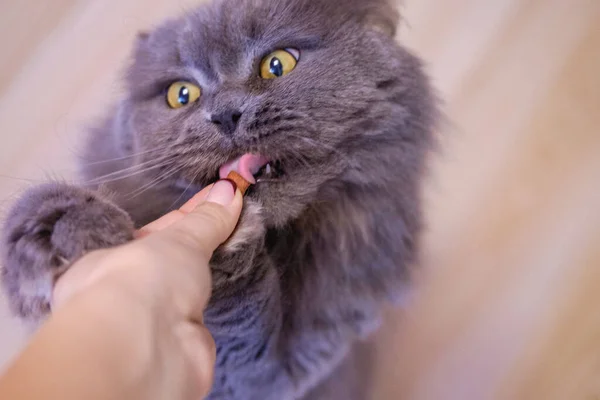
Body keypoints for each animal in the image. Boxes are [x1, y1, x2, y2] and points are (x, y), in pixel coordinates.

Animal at [2, 0, 438, 398]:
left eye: (278, 64)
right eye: (182, 95)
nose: (227, 114)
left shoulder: (290, 366)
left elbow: (245, 337)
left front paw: (231, 247)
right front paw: (58, 228)